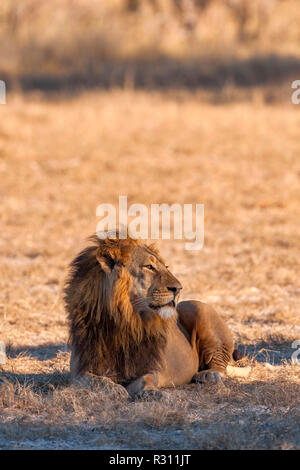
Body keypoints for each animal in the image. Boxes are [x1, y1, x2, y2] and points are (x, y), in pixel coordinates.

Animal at [64, 232, 243, 396]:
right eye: (149, 267)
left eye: (166, 267)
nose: (178, 289)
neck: (124, 320)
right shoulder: (79, 371)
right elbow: (94, 380)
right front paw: (114, 389)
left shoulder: (150, 366)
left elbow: (145, 379)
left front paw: (153, 393)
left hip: (198, 308)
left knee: (220, 363)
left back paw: (209, 375)